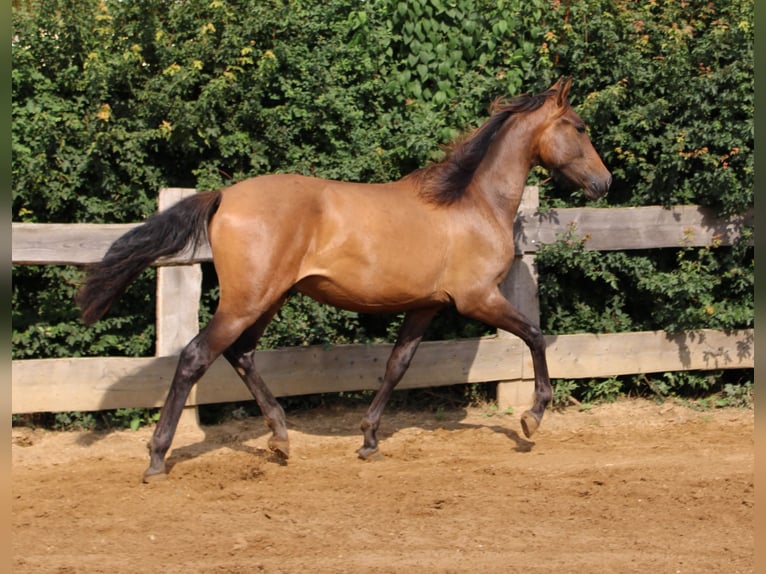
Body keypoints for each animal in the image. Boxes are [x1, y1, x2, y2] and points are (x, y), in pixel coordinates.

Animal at [76, 76, 612, 482]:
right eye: (580, 127)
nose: (604, 183)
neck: (471, 203)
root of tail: (225, 195)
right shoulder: (477, 298)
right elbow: (535, 335)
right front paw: (532, 417)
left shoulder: (425, 305)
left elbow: (397, 366)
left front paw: (369, 439)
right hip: (247, 300)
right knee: (194, 357)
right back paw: (157, 458)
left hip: (268, 298)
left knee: (240, 354)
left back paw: (280, 438)